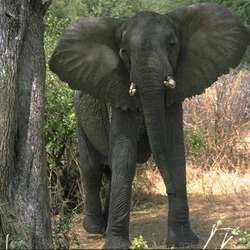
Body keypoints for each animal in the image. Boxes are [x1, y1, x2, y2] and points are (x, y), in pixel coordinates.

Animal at [49, 2, 250, 249]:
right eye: (124, 52)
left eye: (172, 44)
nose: (169, 190)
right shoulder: (118, 94)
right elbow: (125, 153)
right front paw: (117, 245)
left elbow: (173, 151)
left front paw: (183, 241)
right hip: (80, 116)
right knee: (92, 168)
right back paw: (95, 229)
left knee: (112, 170)